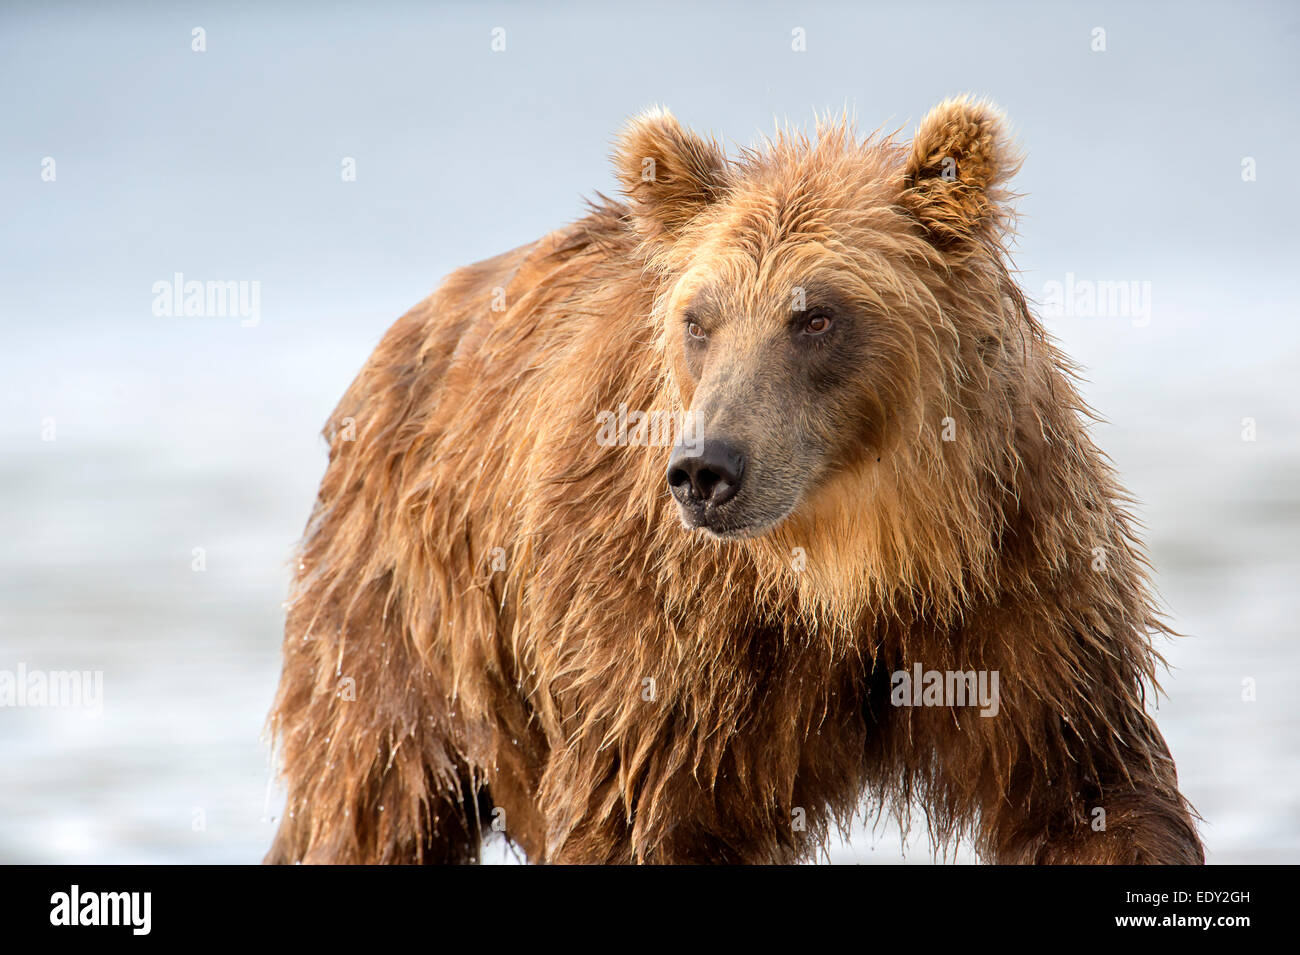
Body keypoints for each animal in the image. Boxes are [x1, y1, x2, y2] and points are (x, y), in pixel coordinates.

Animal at [266, 98, 1206, 867]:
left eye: (816, 315)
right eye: (699, 319)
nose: (705, 470)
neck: (857, 560)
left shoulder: (1016, 583)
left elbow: (1087, 790)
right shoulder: (668, 631)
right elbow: (641, 813)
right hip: (405, 617)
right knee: (369, 800)